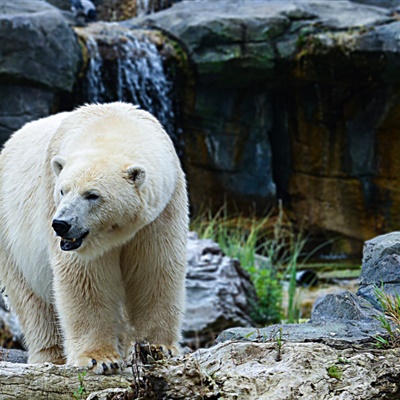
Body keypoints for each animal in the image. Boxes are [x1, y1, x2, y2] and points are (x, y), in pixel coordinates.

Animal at [0, 101, 188, 374]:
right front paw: (99, 358)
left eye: (92, 195)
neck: (111, 123)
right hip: (10, 235)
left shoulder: (163, 210)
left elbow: (153, 269)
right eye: (62, 190)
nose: (61, 224)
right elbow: (85, 278)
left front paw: (159, 347)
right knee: (31, 299)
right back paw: (51, 356)